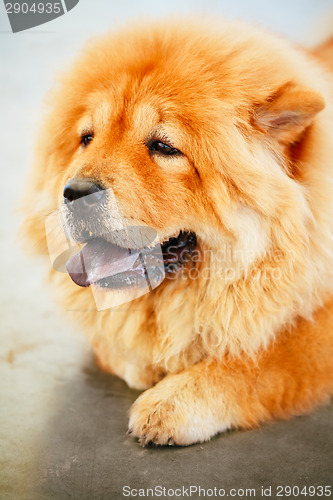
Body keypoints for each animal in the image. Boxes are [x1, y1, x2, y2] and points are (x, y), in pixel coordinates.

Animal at [22, 18, 332, 446]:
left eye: (164, 147)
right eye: (87, 138)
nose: (76, 192)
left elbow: (263, 359)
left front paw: (171, 401)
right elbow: (117, 337)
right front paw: (148, 359)